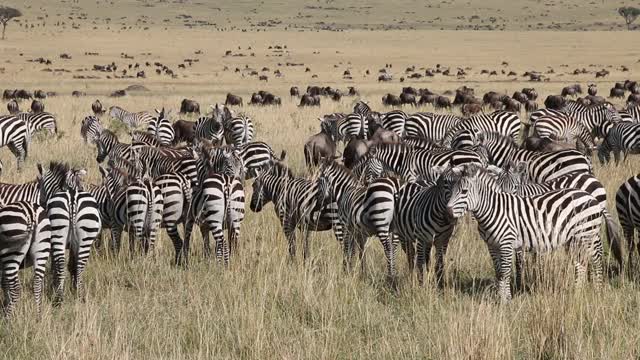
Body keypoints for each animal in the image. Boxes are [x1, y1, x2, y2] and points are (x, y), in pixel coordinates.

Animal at [48, 169, 102, 304]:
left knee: (62, 264)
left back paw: (59, 298)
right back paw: (80, 295)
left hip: (58, 232)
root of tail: (72, 196)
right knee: (79, 266)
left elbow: (66, 266)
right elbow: (71, 265)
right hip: (85, 237)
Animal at [444, 165, 604, 302]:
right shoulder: (492, 245)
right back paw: (577, 294)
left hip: (587, 235)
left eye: (464, 191)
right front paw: (500, 298)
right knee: (580, 264)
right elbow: (498, 273)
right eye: (452, 190)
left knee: (595, 260)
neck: (493, 209)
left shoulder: (506, 243)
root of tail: (589, 195)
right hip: (573, 240)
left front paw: (506, 301)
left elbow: (505, 272)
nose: (448, 212)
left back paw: (597, 291)